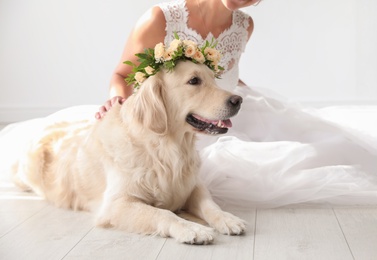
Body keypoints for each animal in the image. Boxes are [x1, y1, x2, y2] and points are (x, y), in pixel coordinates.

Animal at [11, 60, 244, 244]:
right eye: (194, 81)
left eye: (213, 79)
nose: (237, 100)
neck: (164, 149)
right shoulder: (116, 205)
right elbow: (163, 213)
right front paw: (191, 228)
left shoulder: (193, 185)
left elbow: (210, 205)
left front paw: (227, 218)